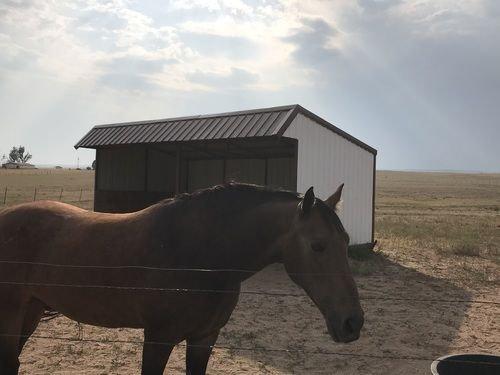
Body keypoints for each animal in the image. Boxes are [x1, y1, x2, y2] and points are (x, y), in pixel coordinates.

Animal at [0, 181, 362, 374]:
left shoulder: (204, 338)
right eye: (318, 245)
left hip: (31, 310)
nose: (352, 322)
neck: (201, 255)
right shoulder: (158, 338)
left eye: (346, 241)